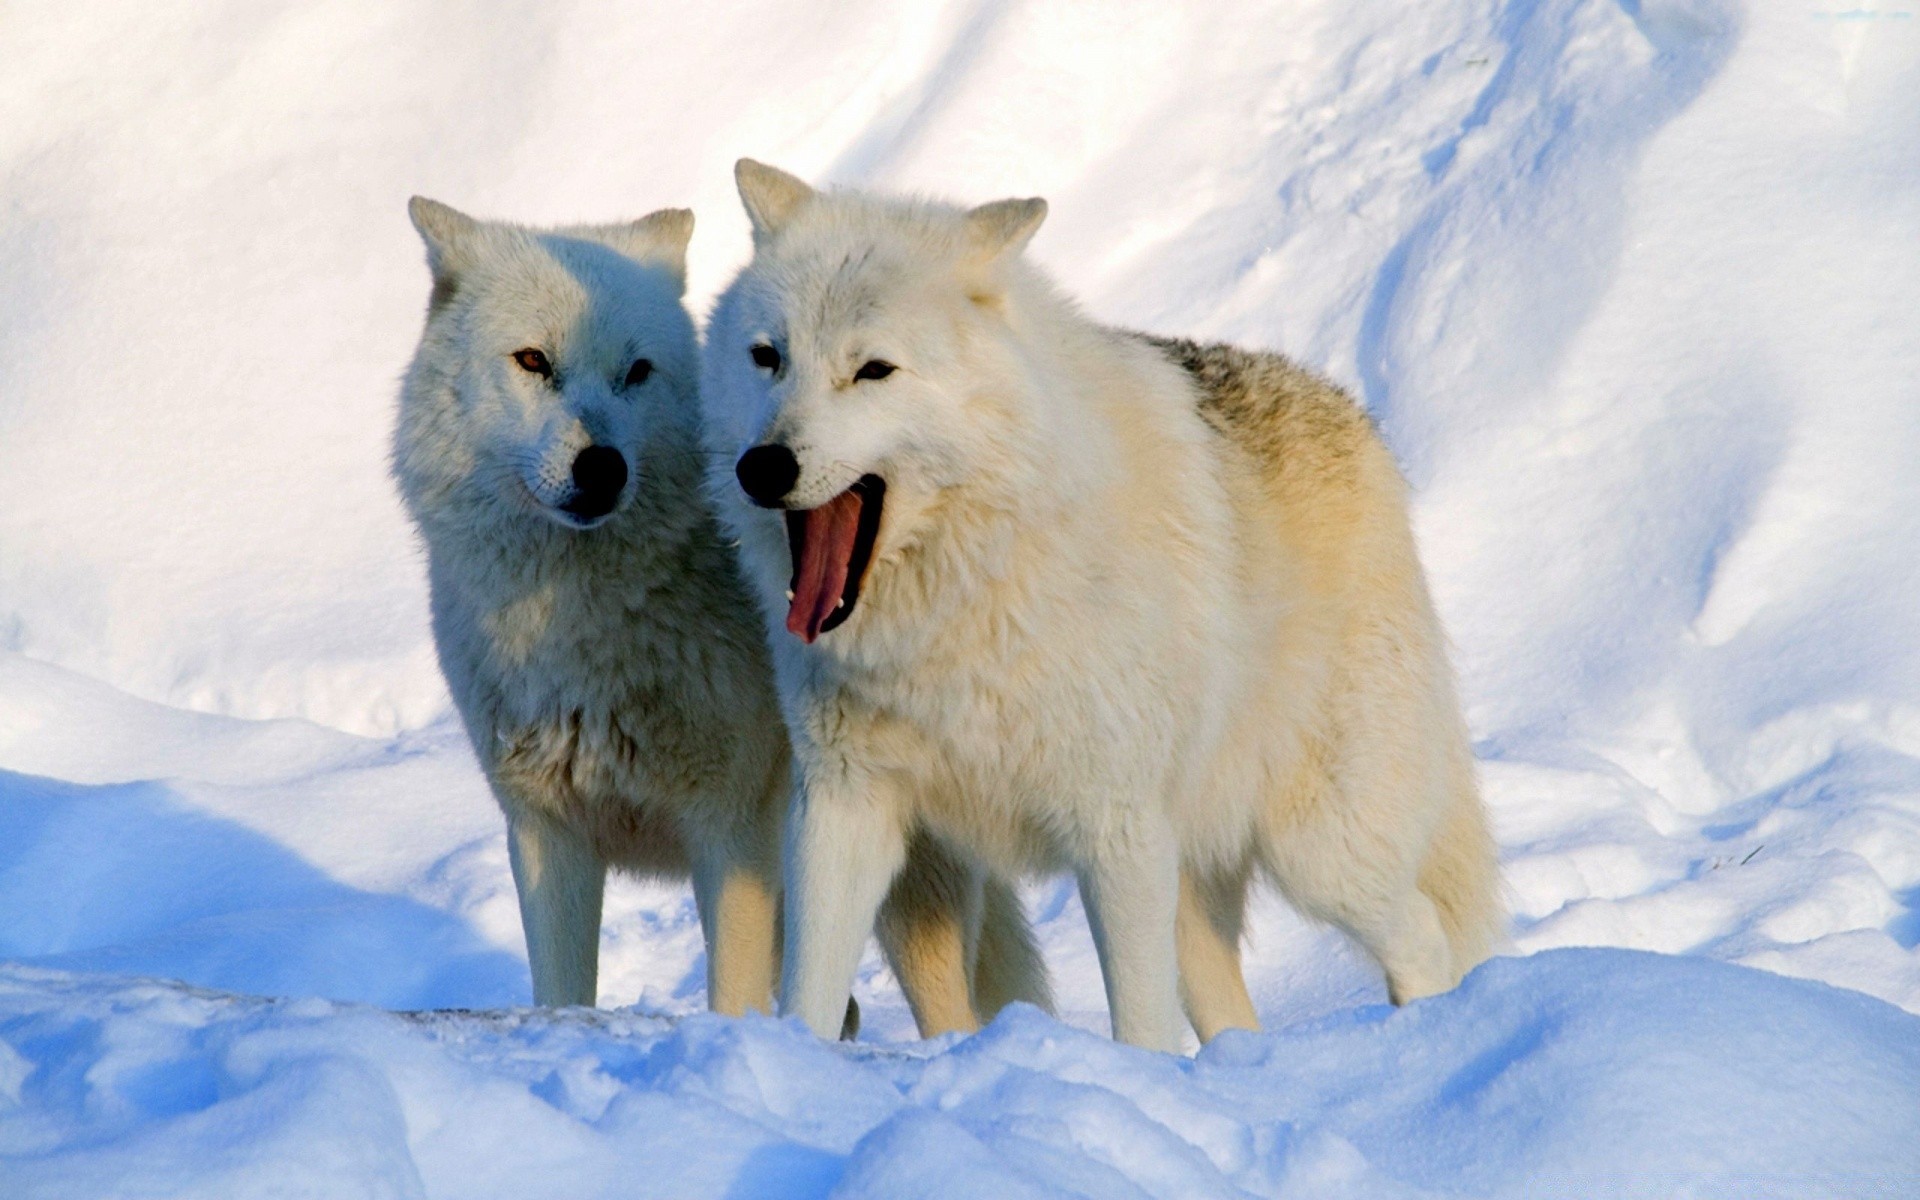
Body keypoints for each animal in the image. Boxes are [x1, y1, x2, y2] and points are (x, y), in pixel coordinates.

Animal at [393, 198, 1052, 1029]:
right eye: (534, 361)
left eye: (637, 371)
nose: (601, 466)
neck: (582, 627)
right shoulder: (546, 835)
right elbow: (563, 998)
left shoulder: (730, 835)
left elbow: (730, 1002)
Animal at [698, 156, 1505, 1044]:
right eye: (768, 357)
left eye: (872, 370)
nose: (762, 466)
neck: (965, 604)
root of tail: (1356, 418)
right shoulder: (843, 808)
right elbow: (808, 994)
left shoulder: (1116, 828)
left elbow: (1140, 1029)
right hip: (1195, 896)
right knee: (1235, 1013)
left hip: (1318, 851)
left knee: (1424, 935)